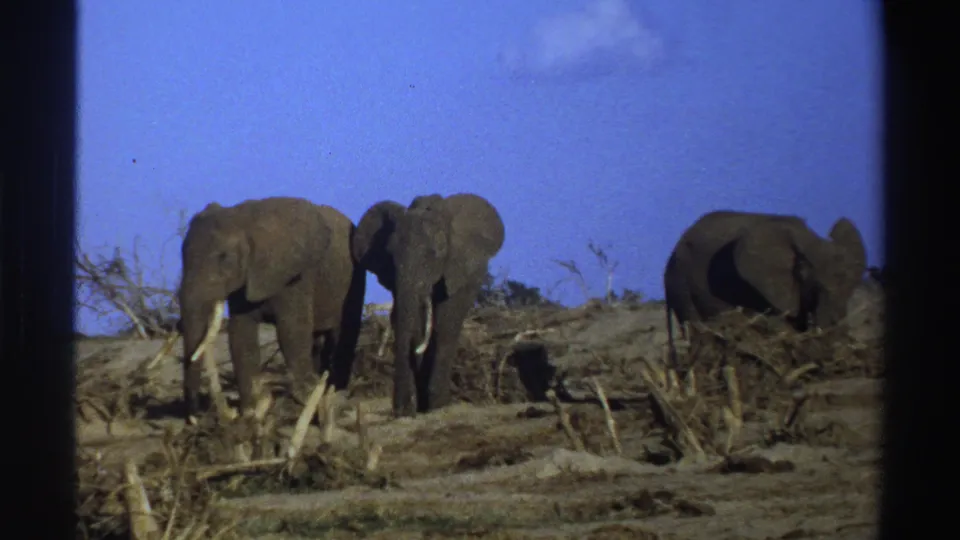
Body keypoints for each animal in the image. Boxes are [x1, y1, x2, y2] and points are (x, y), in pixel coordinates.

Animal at [178, 196, 366, 424]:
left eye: (225, 258)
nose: (195, 417)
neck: (244, 221)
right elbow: (241, 335)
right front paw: (250, 413)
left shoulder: (296, 276)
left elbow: (291, 331)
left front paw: (303, 402)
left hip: (354, 276)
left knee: (344, 332)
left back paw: (336, 393)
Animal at [352, 193, 505, 418]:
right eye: (390, 253)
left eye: (435, 253)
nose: (400, 410)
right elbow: (413, 322)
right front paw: (415, 406)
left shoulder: (462, 269)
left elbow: (446, 321)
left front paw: (437, 404)